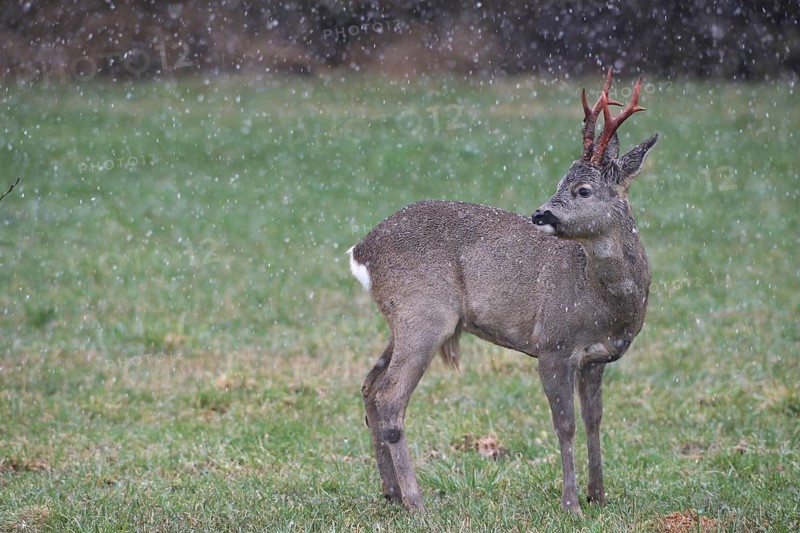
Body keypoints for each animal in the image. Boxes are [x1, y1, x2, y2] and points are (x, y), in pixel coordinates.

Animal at [347, 70, 658, 514]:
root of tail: (361, 250)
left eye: (582, 189)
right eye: (560, 182)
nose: (541, 214)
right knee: (390, 397)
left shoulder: (596, 357)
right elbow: (564, 424)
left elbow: (594, 420)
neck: (604, 300)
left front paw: (599, 494)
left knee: (370, 387)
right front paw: (571, 503)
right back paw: (417, 503)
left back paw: (391, 494)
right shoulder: (554, 344)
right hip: (423, 314)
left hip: (403, 321)